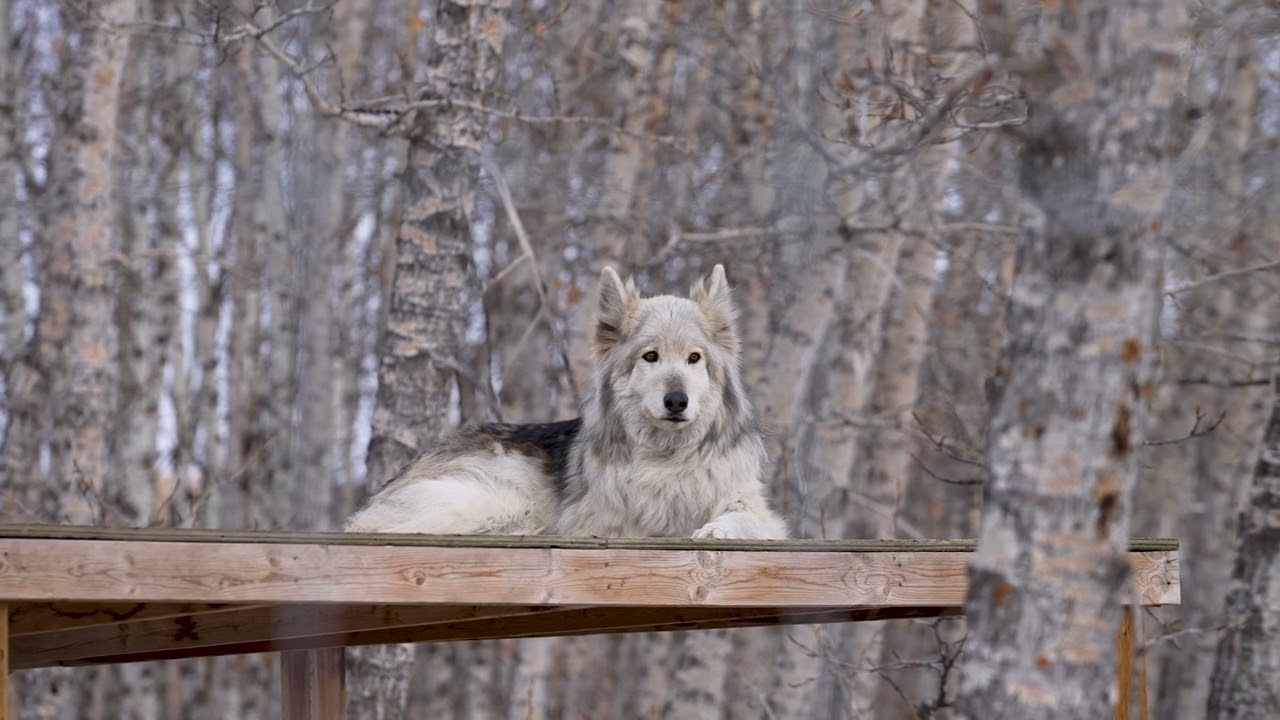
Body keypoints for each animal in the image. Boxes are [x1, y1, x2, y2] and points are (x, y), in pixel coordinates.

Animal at [345, 264, 788, 540]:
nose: (677, 400)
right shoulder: (604, 522)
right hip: (500, 499)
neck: (669, 460)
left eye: (695, 358)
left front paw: (718, 529)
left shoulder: (754, 508)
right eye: (651, 357)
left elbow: (747, 520)